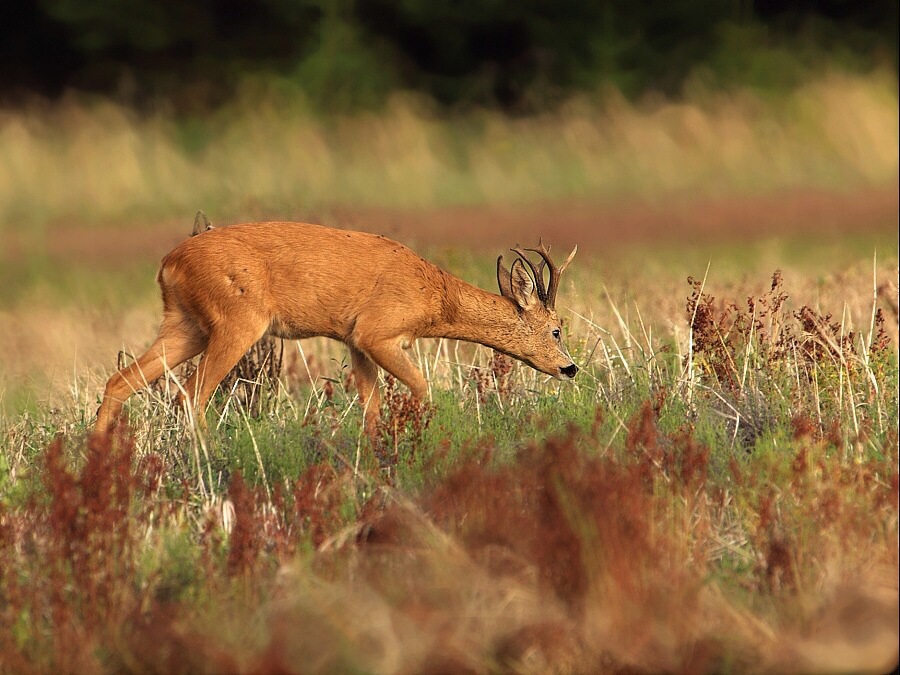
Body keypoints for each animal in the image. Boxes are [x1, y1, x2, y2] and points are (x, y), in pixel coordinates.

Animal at [94, 221, 578, 437]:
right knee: (190, 395)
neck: (435, 298)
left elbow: (371, 406)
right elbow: (422, 388)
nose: (570, 368)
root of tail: (168, 264)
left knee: (120, 381)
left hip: (186, 324)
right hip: (238, 320)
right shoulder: (377, 332)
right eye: (556, 329)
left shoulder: (354, 342)